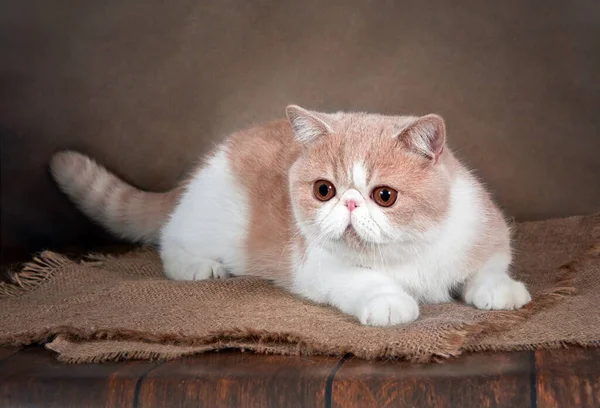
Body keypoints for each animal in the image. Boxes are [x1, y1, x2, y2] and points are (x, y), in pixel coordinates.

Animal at [49, 105, 532, 326]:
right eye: (324, 191)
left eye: (384, 195)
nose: (349, 203)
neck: (408, 253)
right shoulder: (322, 269)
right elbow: (368, 282)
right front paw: (391, 301)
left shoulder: (485, 232)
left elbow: (489, 267)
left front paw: (499, 290)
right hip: (204, 224)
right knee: (170, 240)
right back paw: (196, 266)